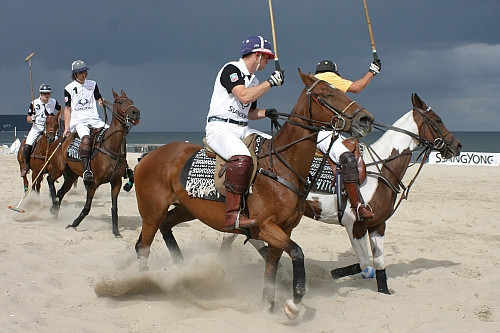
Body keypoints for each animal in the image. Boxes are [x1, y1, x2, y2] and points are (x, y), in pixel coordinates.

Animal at [46, 89, 141, 237]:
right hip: (59, 168)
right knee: (50, 179)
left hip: (71, 175)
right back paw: (53, 205)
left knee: (61, 192)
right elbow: (87, 207)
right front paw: (73, 224)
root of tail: (60, 140)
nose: (136, 112)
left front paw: (116, 232)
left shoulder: (116, 182)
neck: (111, 146)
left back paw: (55, 210)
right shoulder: (93, 183)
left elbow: (114, 208)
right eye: (120, 102)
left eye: (131, 101)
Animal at [133, 68, 376, 318]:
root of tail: (147, 156)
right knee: (143, 246)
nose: (366, 119)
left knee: (164, 227)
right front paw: (293, 303)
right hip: (152, 212)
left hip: (187, 209)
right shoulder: (266, 226)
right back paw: (146, 283)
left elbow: (272, 268)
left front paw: (268, 306)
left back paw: (183, 270)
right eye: (326, 94)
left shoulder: (284, 229)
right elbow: (297, 253)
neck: (283, 166)